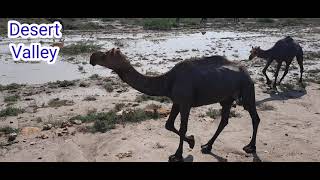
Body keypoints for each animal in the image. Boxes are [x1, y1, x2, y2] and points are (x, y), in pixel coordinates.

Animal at [89, 47, 260, 162]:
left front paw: (178, 154)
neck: (167, 81)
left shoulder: (185, 102)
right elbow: (169, 124)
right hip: (226, 98)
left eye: (105, 55)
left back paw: (250, 147)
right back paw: (207, 146)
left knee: (254, 117)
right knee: (224, 120)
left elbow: (182, 127)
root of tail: (247, 72)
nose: (92, 57)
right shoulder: (176, 101)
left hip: (247, 89)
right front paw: (192, 141)